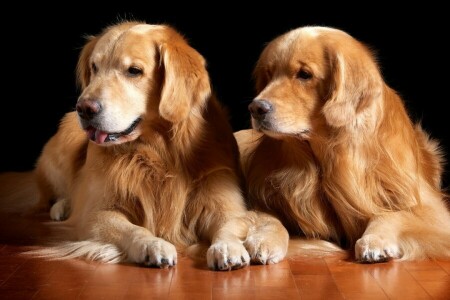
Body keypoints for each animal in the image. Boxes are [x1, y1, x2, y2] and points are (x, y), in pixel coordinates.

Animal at [0, 20, 288, 270]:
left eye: (134, 71)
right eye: (94, 67)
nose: (84, 108)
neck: (158, 151)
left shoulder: (225, 203)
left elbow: (228, 225)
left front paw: (227, 247)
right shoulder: (96, 213)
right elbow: (132, 229)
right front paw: (152, 245)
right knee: (52, 194)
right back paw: (61, 207)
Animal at [236, 25, 450, 262]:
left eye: (304, 75)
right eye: (268, 75)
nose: (256, 108)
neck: (327, 156)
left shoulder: (434, 212)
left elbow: (391, 215)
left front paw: (375, 239)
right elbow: (269, 218)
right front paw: (264, 239)